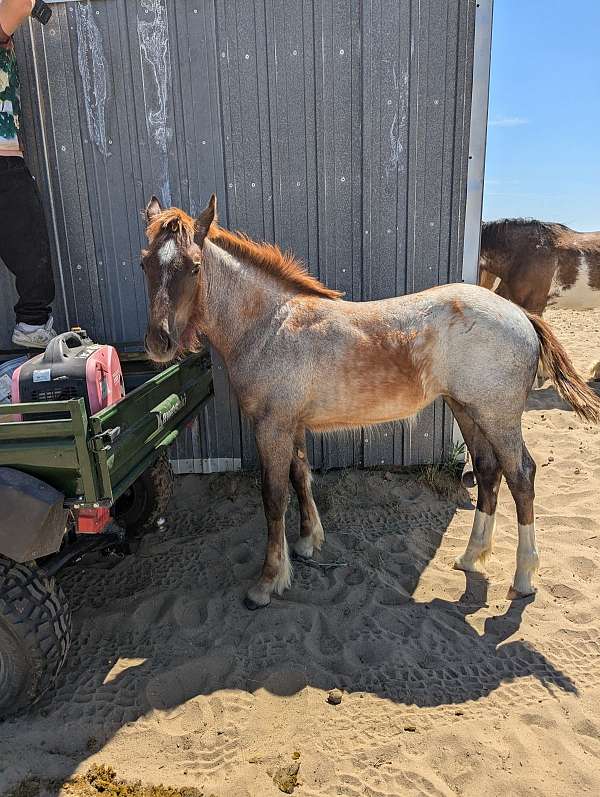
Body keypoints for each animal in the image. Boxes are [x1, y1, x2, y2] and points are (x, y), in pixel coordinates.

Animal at [139, 197, 600, 608]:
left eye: (193, 266)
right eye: (145, 263)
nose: (159, 342)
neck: (271, 325)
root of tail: (521, 315)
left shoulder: (271, 427)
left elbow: (273, 497)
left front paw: (267, 583)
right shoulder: (291, 425)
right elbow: (301, 477)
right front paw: (307, 542)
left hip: (497, 415)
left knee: (521, 476)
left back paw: (523, 579)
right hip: (468, 410)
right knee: (488, 472)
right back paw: (470, 557)